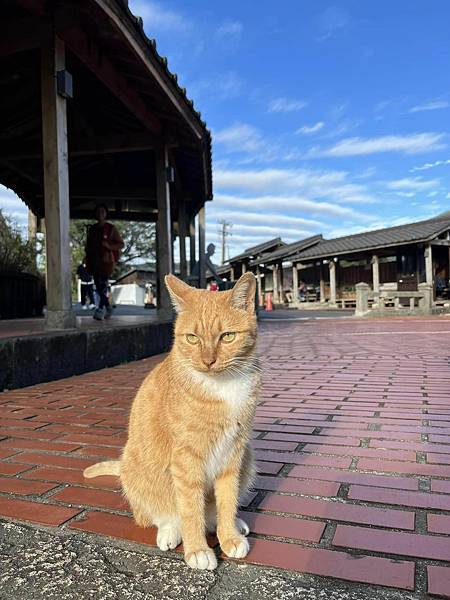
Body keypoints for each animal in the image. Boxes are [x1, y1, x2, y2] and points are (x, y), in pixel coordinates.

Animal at [83, 274, 260, 568]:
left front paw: (228, 535)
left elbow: (227, 500)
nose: (208, 361)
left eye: (227, 337)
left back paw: (233, 523)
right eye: (192, 338)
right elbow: (190, 509)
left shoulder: (233, 454)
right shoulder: (186, 460)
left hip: (248, 458)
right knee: (161, 515)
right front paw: (197, 549)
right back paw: (170, 531)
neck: (221, 386)